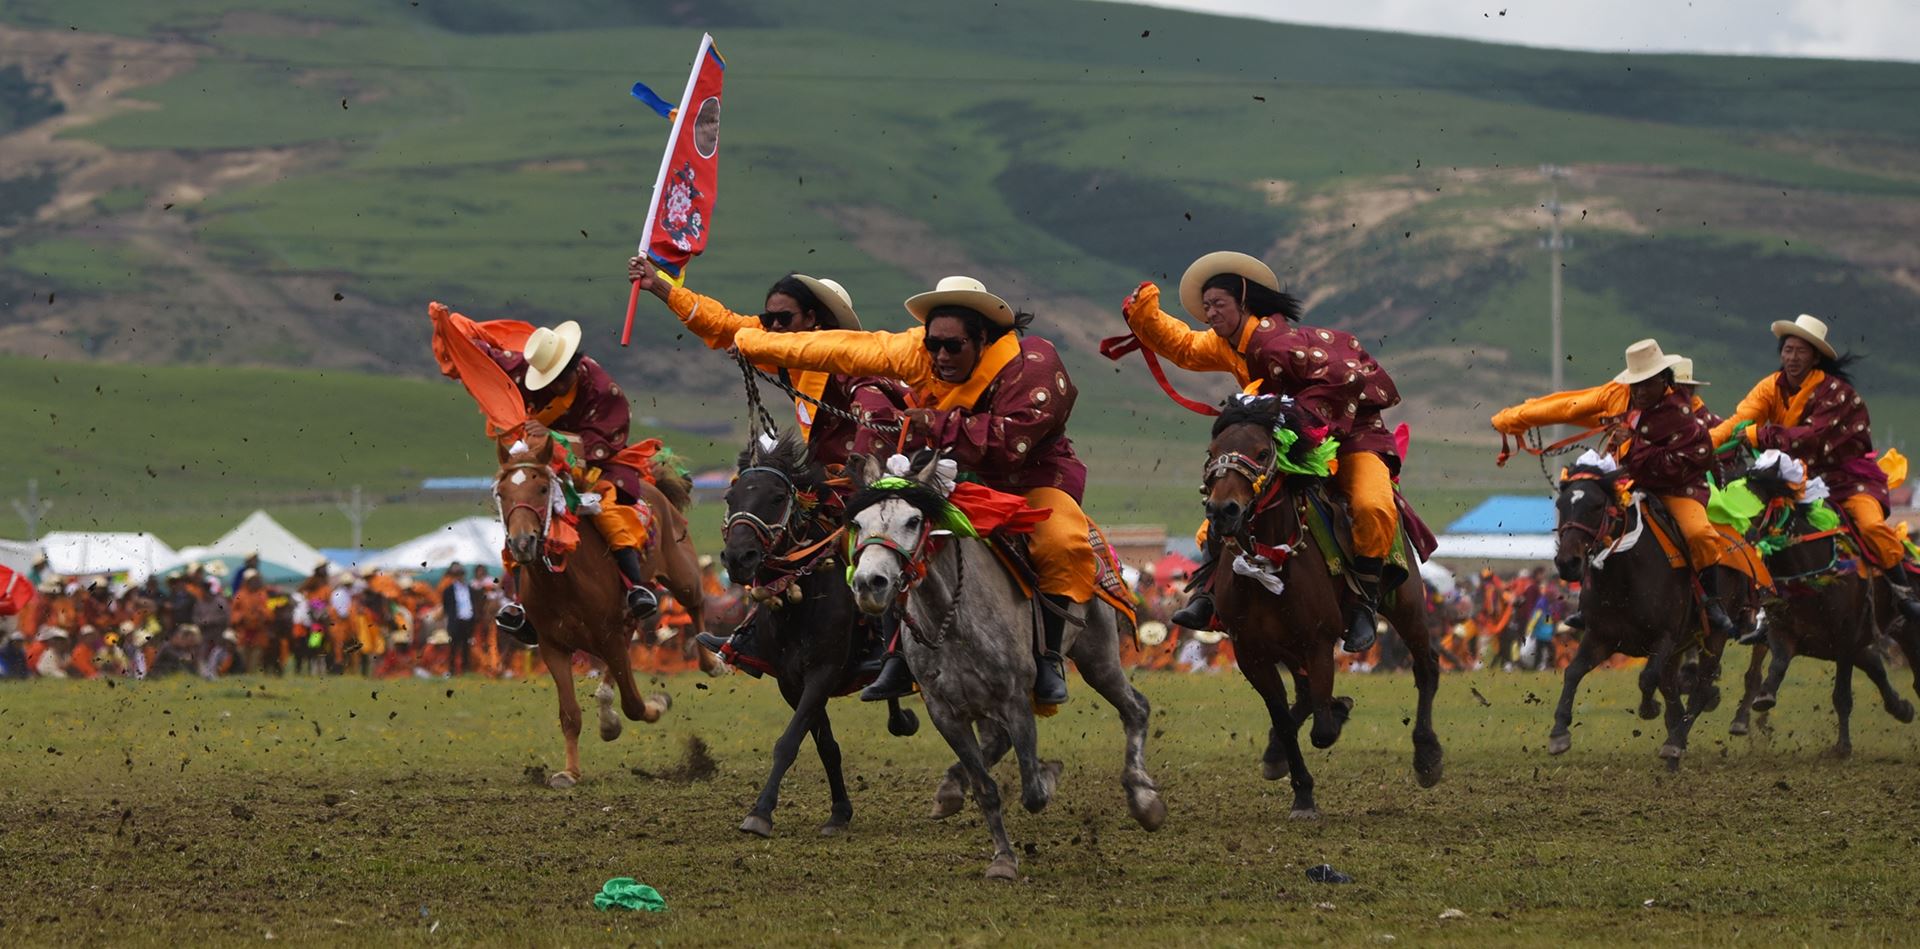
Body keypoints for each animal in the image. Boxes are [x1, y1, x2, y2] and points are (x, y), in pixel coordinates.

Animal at [495, 426, 706, 791]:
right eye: (503, 493)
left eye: (542, 488)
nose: (522, 544)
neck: (563, 582)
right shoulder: (554, 646)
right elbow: (569, 714)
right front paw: (569, 772)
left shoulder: (607, 635)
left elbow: (634, 703)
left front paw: (657, 704)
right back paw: (607, 716)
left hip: (682, 573)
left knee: (696, 603)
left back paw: (713, 660)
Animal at [725, 430, 921, 837]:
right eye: (730, 497)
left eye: (776, 497)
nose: (738, 558)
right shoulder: (791, 681)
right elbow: (824, 745)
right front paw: (839, 812)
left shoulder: (822, 673)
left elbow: (788, 742)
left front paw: (760, 812)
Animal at [1198, 395, 1443, 818]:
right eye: (1213, 453)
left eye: (1263, 452)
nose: (1222, 511)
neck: (1269, 566)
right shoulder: (1251, 653)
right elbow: (1285, 719)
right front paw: (1299, 788)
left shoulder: (1317, 643)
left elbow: (1322, 730)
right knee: (1303, 695)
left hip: (1406, 604)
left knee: (1426, 667)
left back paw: (1427, 756)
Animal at [1536, 462, 1751, 768]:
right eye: (1560, 504)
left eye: (1597, 505)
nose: (1568, 562)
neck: (1624, 579)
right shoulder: (1599, 637)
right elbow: (1573, 672)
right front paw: (1559, 732)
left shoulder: (1664, 637)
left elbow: (1647, 678)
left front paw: (1649, 707)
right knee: (1672, 685)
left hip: (1714, 638)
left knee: (1699, 688)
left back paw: (1675, 741)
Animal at [1720, 468, 1912, 756]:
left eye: (1750, 504)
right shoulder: (1782, 631)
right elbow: (1775, 666)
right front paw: (1763, 698)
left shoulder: (1846, 636)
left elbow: (1842, 694)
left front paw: (1843, 746)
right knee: (1875, 665)